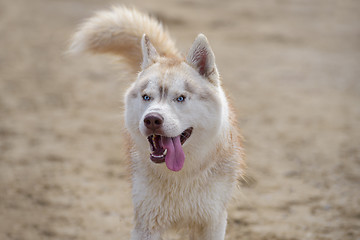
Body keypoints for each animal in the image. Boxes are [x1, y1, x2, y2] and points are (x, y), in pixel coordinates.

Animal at [69, 6, 245, 240]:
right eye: (147, 97)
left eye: (180, 98)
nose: (152, 119)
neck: (181, 176)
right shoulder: (147, 223)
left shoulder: (213, 222)